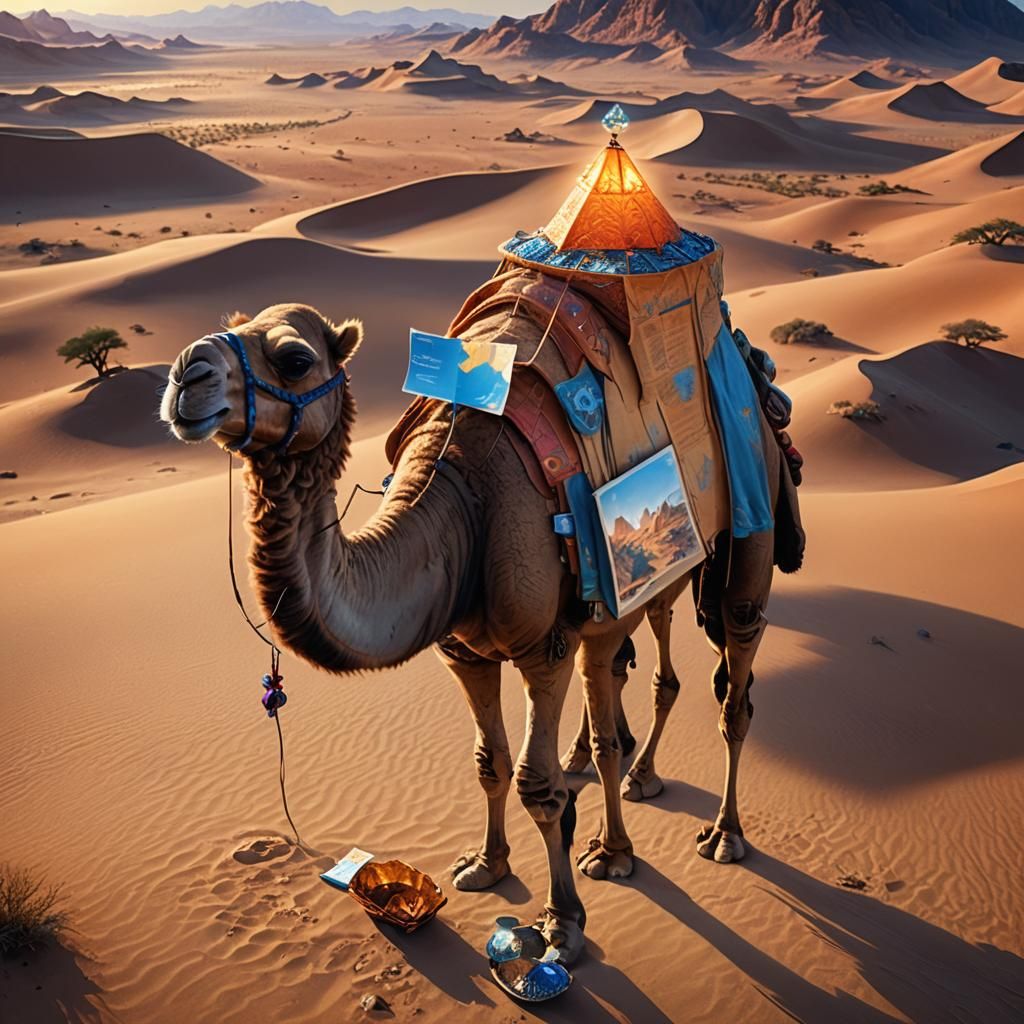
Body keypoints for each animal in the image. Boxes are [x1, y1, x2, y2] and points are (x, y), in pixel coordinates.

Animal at [160, 300, 781, 964]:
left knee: (734, 681)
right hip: (641, 589)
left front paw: (563, 924)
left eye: (295, 359)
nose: (186, 373)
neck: (461, 503)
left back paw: (719, 835)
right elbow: (489, 762)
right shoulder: (463, 651)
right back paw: (622, 801)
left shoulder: (543, 650)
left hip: (752, 514)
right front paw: (487, 864)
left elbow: (538, 786)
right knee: (630, 675)